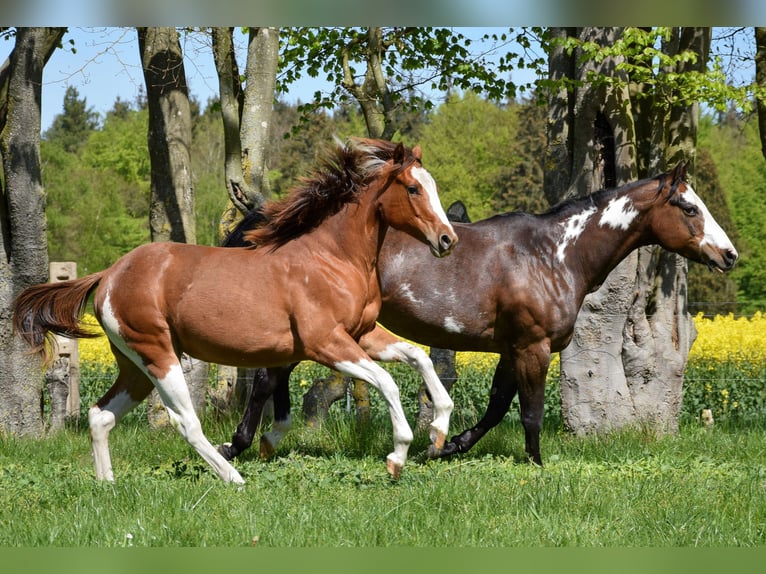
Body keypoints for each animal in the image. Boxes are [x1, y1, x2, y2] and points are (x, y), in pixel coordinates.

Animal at [12, 137, 458, 483]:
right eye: (413, 189)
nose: (447, 239)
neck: (332, 258)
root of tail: (109, 274)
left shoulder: (362, 335)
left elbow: (418, 358)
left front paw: (438, 430)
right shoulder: (326, 343)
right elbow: (388, 382)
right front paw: (398, 455)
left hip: (134, 365)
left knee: (100, 416)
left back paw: (108, 484)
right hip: (158, 355)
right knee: (185, 421)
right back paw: (232, 476)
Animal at [222, 163, 738, 466]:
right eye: (689, 207)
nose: (729, 255)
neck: (554, 255)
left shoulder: (513, 349)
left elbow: (495, 407)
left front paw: (444, 446)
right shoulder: (533, 347)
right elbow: (530, 412)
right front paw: (536, 464)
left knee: (275, 377)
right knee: (267, 379)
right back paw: (241, 444)